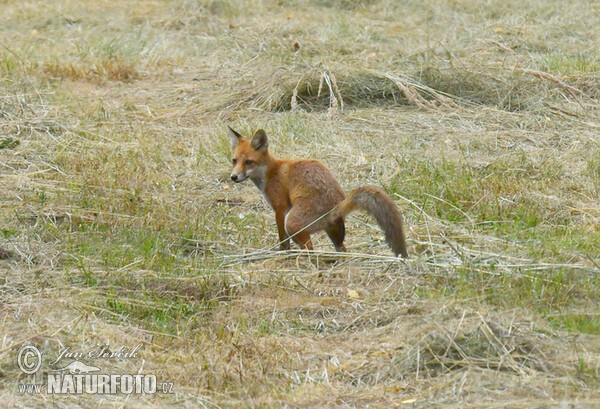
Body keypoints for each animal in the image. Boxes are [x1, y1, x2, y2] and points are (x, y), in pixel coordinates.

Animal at [226, 126, 408, 256]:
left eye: (248, 162)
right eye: (234, 161)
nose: (233, 177)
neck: (271, 173)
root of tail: (337, 205)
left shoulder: (280, 207)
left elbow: (282, 239)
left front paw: (282, 252)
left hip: (291, 223)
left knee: (309, 248)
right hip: (333, 232)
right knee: (342, 248)